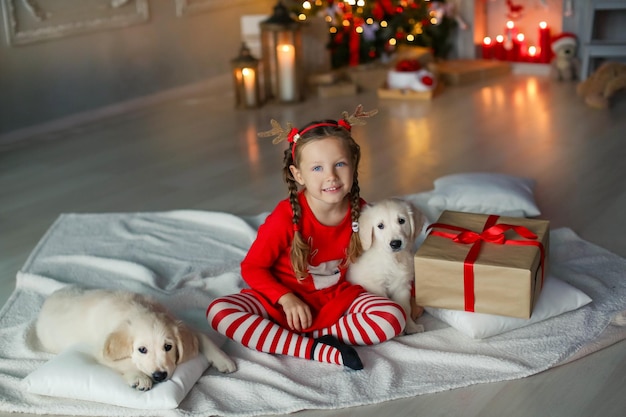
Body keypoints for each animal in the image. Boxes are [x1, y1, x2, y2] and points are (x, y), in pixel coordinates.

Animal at [36, 286, 236, 390]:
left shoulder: (179, 322)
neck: (136, 310)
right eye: (142, 350)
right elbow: (125, 362)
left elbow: (201, 336)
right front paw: (140, 378)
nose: (159, 375)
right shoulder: (101, 351)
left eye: (168, 347)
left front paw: (223, 359)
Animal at [344, 199, 426, 334]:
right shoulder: (376, 286)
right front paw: (400, 332)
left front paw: (411, 327)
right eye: (380, 226)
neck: (392, 258)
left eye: (401, 220)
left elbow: (405, 308)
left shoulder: (402, 286)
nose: (395, 243)